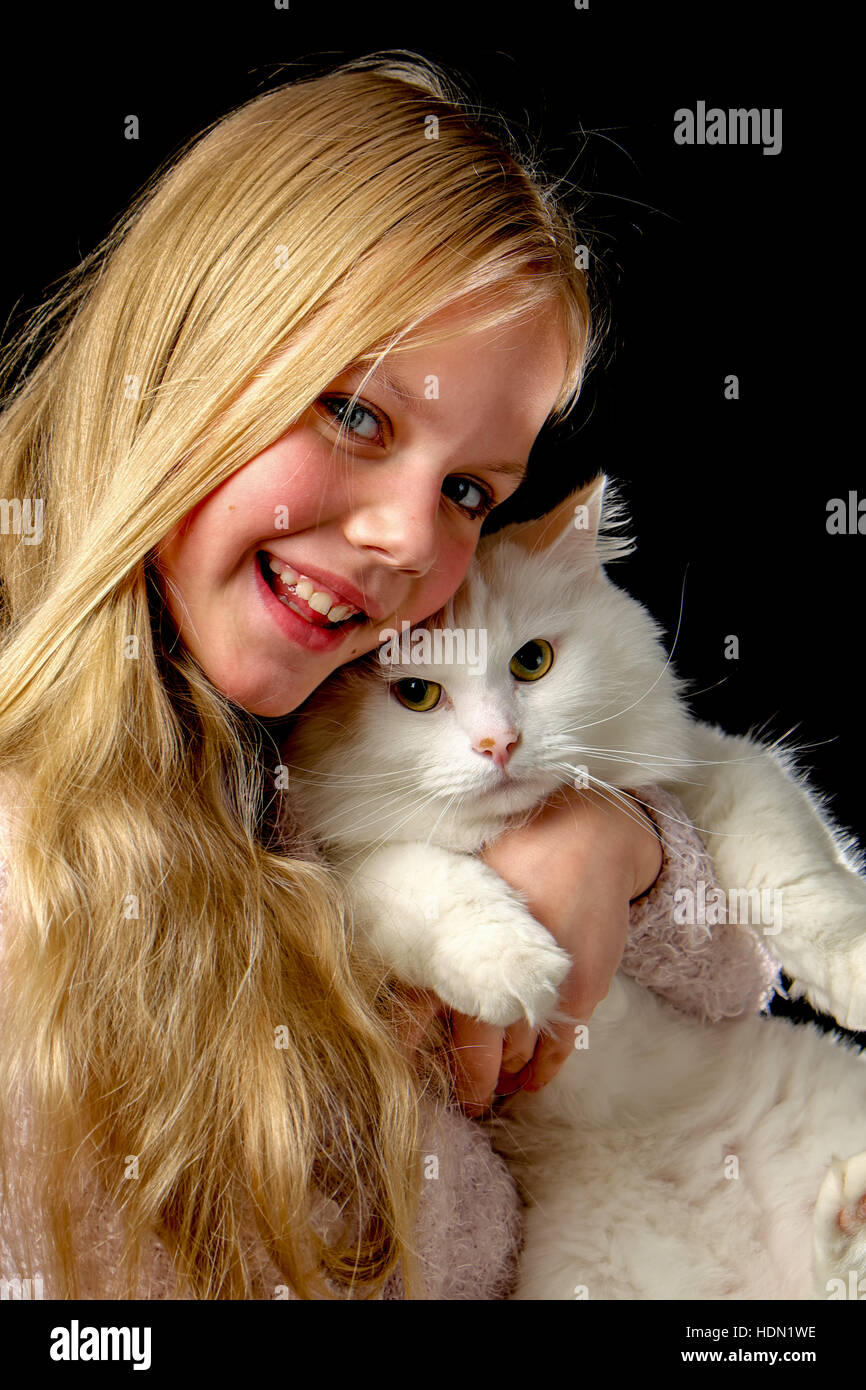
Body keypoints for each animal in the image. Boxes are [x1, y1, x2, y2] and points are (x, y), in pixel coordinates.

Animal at [287, 478, 866, 1301]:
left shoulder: (706, 776)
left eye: (532, 663)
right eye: (417, 695)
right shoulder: (340, 870)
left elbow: (794, 873)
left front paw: (854, 971)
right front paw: (518, 965)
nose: (500, 744)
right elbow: (424, 880)